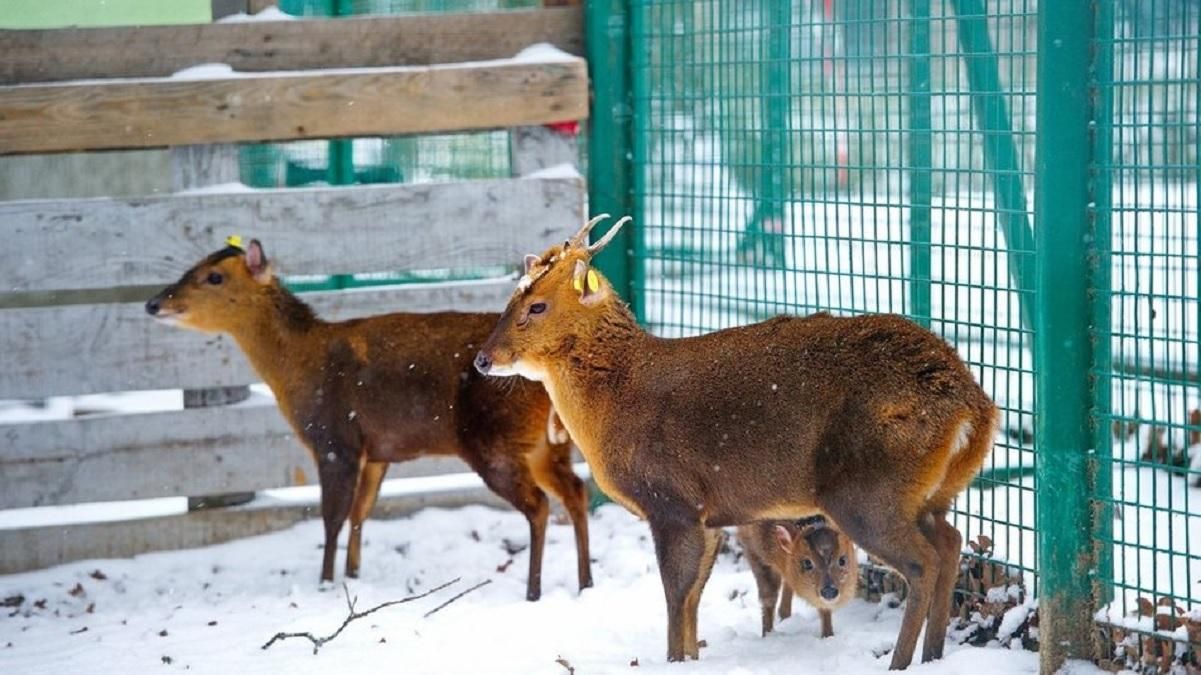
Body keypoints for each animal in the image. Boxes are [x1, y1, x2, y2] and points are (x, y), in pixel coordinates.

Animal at [144, 238, 592, 601]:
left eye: (214, 276)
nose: (154, 303)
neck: (299, 368)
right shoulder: (376, 450)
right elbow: (361, 511)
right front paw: (352, 574)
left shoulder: (334, 439)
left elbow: (332, 517)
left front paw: (325, 582)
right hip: (548, 443)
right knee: (576, 491)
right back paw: (585, 582)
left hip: (495, 441)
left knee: (539, 505)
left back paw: (533, 591)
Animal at [473, 214, 998, 669]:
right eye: (512, 298)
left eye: (537, 305)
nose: (482, 359)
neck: (618, 396)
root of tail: (975, 408)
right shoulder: (709, 517)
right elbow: (692, 599)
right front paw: (690, 657)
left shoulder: (671, 501)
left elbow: (675, 594)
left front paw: (673, 660)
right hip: (932, 493)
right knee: (951, 543)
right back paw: (933, 656)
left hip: (868, 492)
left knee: (923, 562)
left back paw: (901, 662)